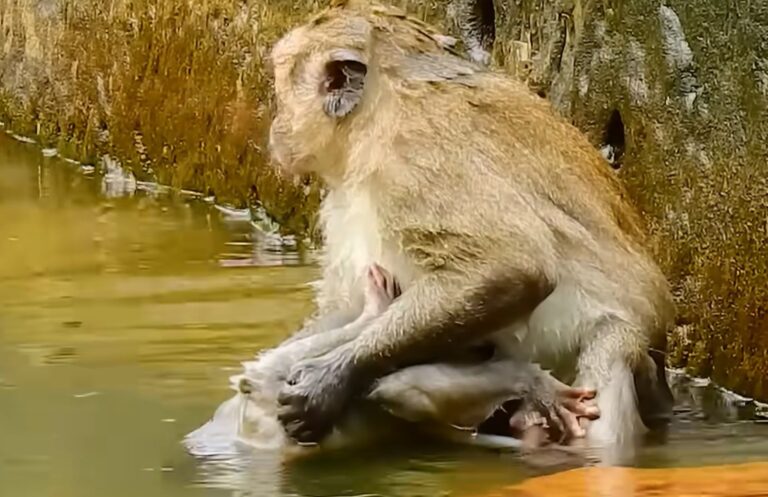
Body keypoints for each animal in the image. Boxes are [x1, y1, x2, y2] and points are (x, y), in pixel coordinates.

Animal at [267, 0, 675, 464]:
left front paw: (329, 378)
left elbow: (513, 268)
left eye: (280, 90)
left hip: (617, 344)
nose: (276, 128)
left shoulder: (413, 161)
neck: (378, 109)